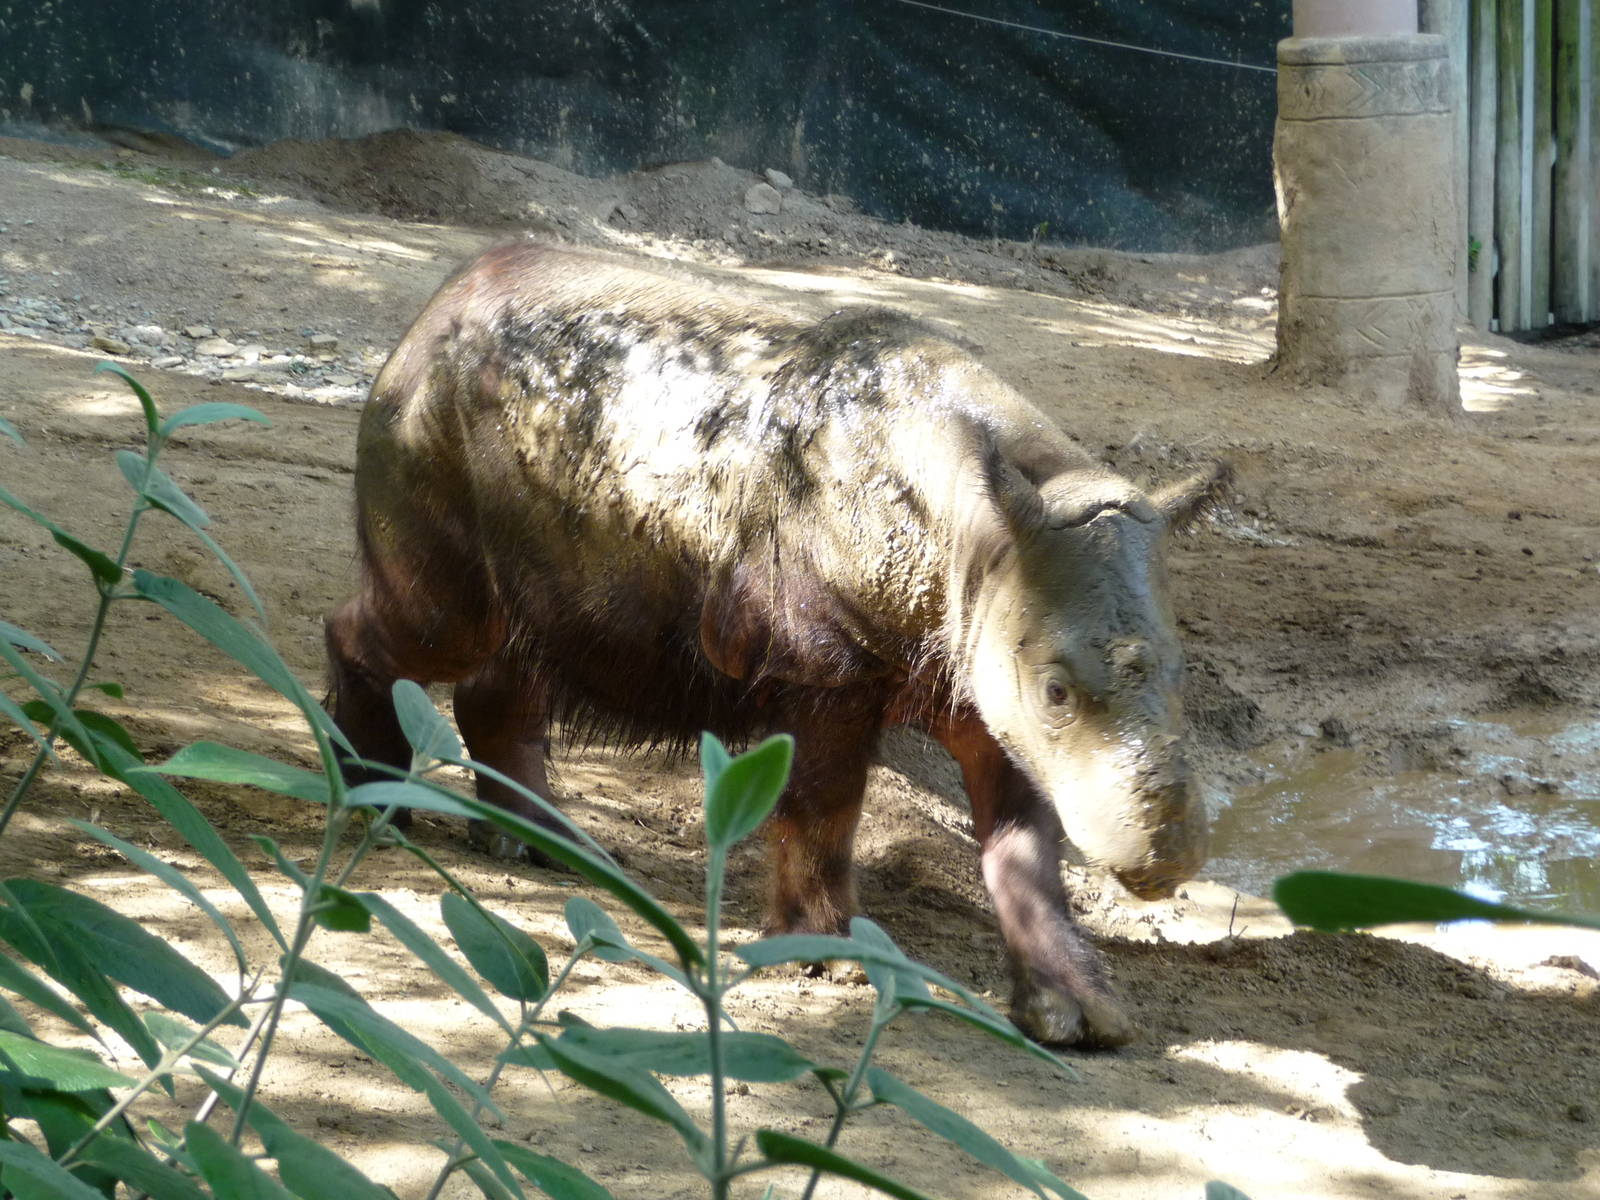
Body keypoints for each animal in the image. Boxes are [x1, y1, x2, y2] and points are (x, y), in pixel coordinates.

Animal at [326, 242, 1227, 1047]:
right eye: (1058, 690)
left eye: (1187, 680)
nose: (1168, 862)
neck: (991, 528)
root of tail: (430, 310)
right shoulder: (826, 661)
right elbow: (826, 802)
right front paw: (834, 962)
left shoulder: (987, 663)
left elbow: (1026, 840)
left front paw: (1083, 1018)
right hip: (429, 422)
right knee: (444, 626)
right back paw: (373, 802)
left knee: (516, 644)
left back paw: (553, 849)